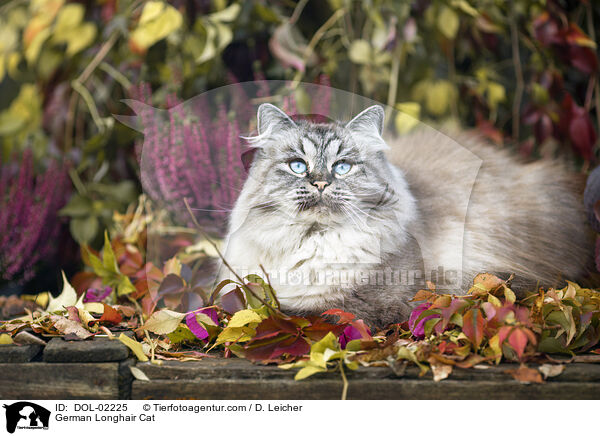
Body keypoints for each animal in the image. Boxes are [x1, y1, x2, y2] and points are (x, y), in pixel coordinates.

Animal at [220, 103, 596, 328]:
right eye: (297, 166)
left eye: (343, 167)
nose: (321, 183)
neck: (314, 242)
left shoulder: (365, 306)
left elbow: (288, 310)